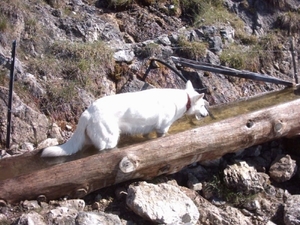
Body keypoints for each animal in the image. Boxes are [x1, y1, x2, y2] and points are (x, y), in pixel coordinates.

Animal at [41, 80, 209, 157]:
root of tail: (88, 112)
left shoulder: (148, 129)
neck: (184, 99)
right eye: (202, 105)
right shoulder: (163, 128)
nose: (207, 114)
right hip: (110, 139)